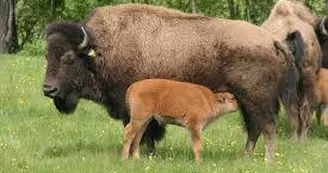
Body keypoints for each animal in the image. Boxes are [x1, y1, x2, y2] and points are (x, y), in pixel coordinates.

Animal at [43, 3, 300, 162]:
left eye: (68, 58)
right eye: (47, 55)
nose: (48, 88)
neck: (99, 51)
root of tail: (273, 41)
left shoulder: (132, 107)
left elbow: (143, 132)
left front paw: (144, 154)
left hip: (258, 100)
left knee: (267, 126)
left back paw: (266, 160)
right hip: (247, 102)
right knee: (254, 128)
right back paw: (245, 157)